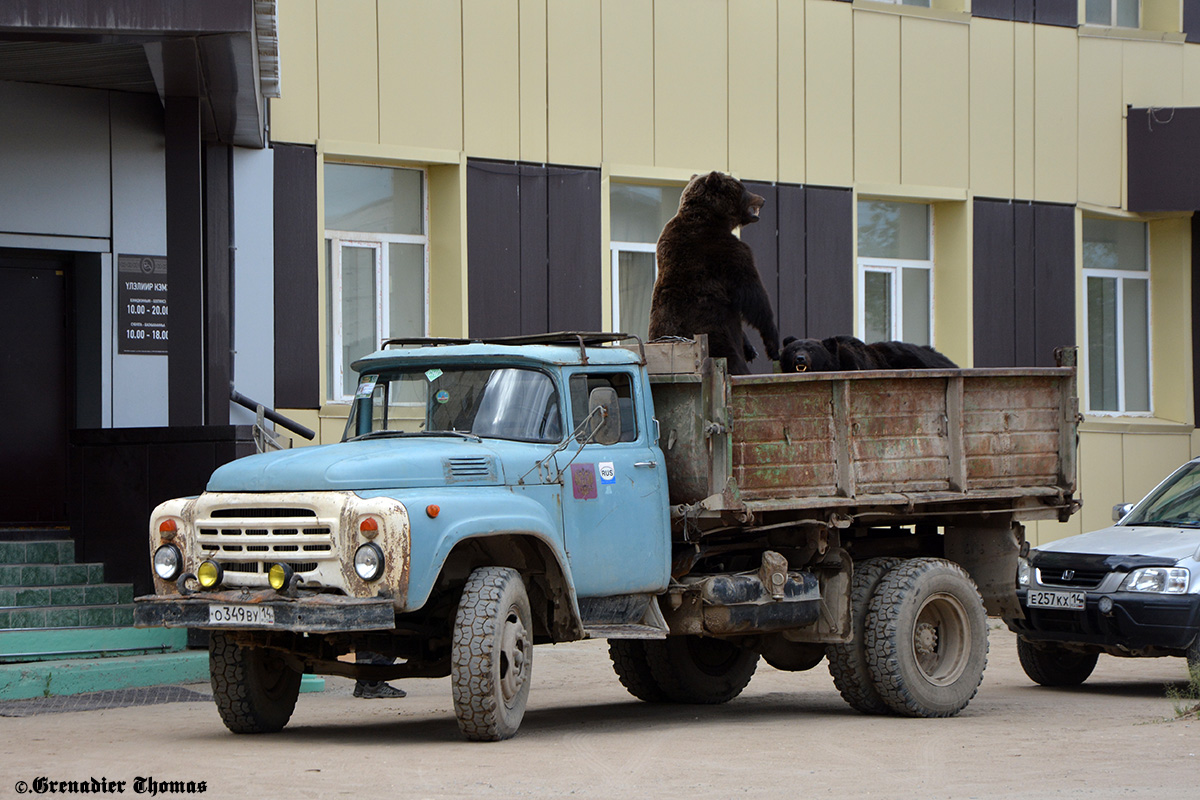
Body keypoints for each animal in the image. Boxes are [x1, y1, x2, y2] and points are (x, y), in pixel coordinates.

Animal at [652, 170, 782, 376]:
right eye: (743, 188)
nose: (763, 199)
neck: (713, 219)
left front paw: (751, 348)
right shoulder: (726, 252)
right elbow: (753, 296)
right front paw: (772, 345)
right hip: (717, 337)